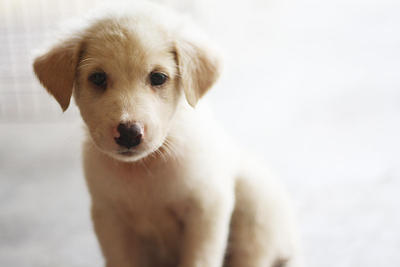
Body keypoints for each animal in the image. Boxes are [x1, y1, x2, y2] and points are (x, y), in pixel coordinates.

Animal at [32, 3, 300, 267]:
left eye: (158, 77)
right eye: (97, 78)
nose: (129, 133)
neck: (143, 169)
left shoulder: (207, 208)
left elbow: (199, 259)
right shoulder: (110, 219)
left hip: (255, 204)